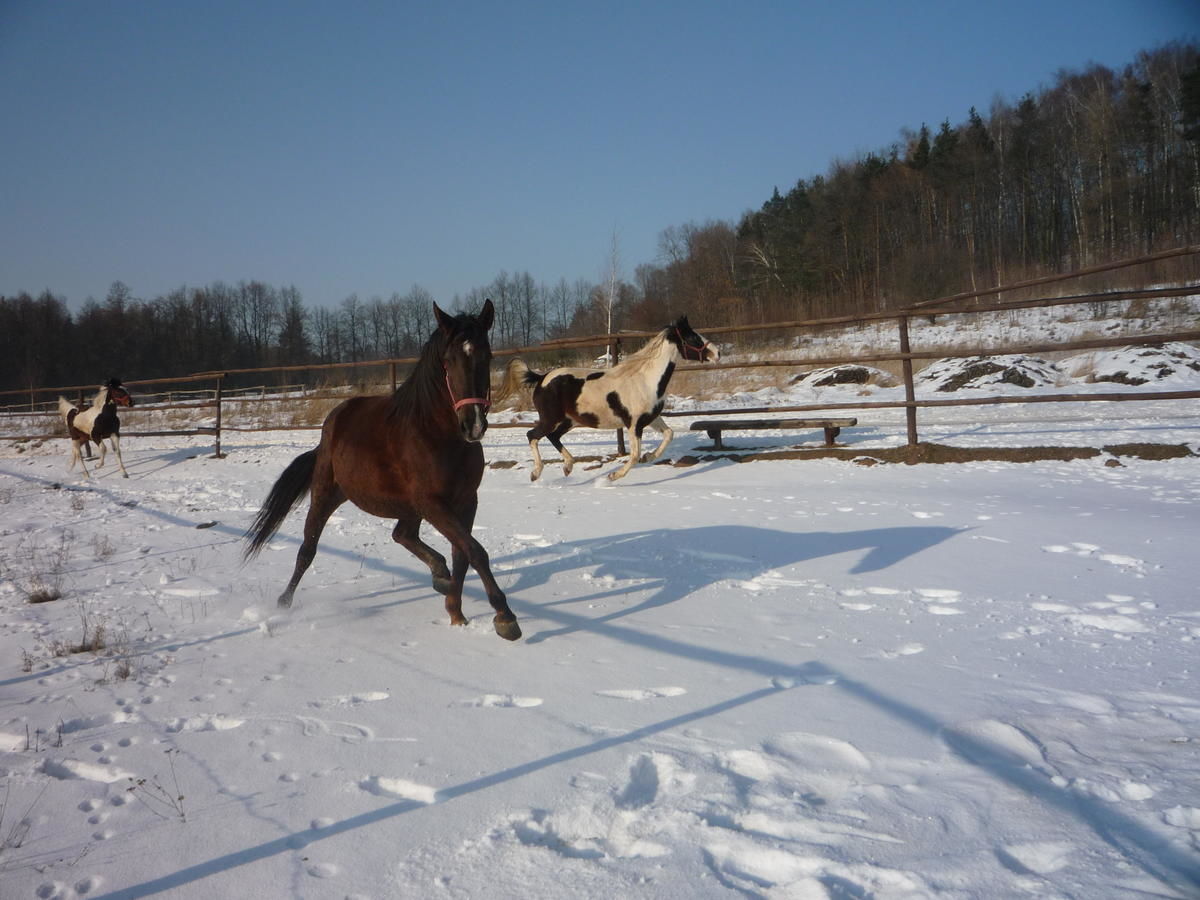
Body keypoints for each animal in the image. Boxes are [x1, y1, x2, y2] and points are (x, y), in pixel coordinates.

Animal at [242, 301, 520, 643]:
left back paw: (439, 576)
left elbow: (463, 553)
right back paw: (283, 602)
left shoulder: (465, 501)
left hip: (407, 506)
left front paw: (456, 612)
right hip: (327, 493)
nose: (474, 425)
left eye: (487, 356)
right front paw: (505, 617)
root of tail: (334, 419)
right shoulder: (433, 502)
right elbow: (476, 551)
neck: (438, 435)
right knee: (308, 549)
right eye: (448, 360)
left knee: (403, 534)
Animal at [499, 319, 715, 487]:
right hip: (551, 419)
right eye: (693, 338)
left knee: (553, 436)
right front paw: (612, 476)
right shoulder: (633, 424)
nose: (717, 353)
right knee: (532, 435)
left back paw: (568, 467)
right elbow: (634, 455)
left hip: (569, 421)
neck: (646, 379)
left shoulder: (651, 418)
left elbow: (669, 434)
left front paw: (649, 456)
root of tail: (541, 377)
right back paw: (536, 473)